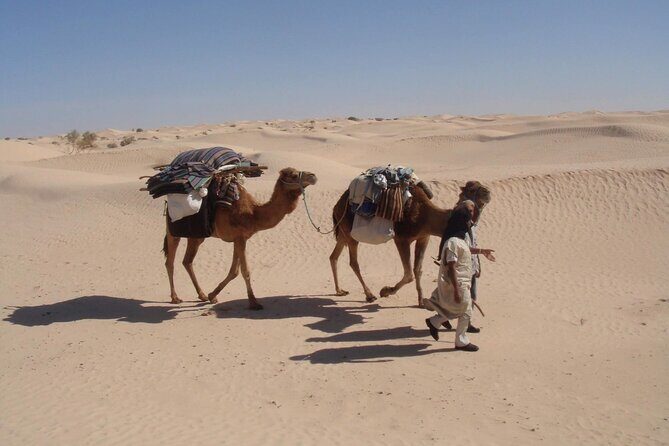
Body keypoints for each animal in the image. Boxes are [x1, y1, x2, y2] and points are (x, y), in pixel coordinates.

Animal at [163, 167, 317, 310]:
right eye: (294, 175)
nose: (313, 176)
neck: (254, 214)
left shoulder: (240, 239)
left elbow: (234, 271)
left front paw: (212, 295)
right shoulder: (240, 238)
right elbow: (245, 271)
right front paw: (254, 302)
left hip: (197, 235)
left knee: (187, 261)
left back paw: (202, 295)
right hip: (174, 230)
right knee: (170, 262)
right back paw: (175, 297)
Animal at [329, 181, 490, 306]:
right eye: (472, 189)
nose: (487, 192)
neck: (427, 216)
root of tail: (336, 206)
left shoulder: (424, 238)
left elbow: (417, 270)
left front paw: (421, 300)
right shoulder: (401, 239)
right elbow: (408, 274)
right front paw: (386, 291)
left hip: (342, 233)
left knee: (333, 256)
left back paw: (339, 290)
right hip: (350, 233)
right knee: (353, 262)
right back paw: (369, 294)